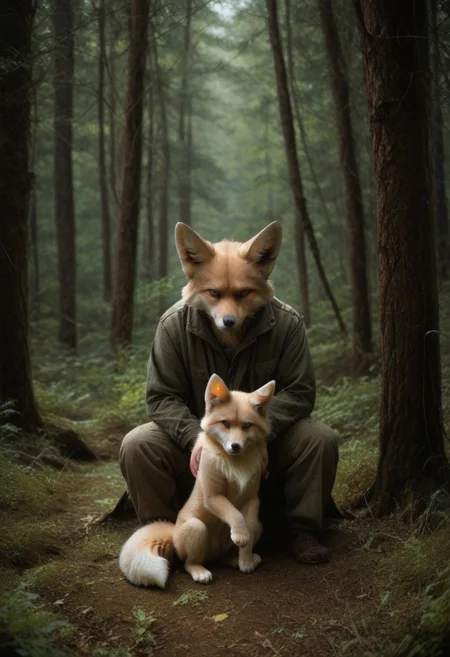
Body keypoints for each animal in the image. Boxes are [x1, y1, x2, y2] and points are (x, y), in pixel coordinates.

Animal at [119, 373, 275, 588]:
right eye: (225, 423)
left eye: (246, 425)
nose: (235, 446)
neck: (234, 464)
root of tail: (174, 533)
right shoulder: (213, 496)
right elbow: (235, 514)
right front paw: (240, 535)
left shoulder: (252, 498)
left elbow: (248, 525)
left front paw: (246, 559)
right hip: (196, 528)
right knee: (189, 563)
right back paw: (200, 572)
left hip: (251, 530)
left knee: (223, 557)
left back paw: (236, 559)